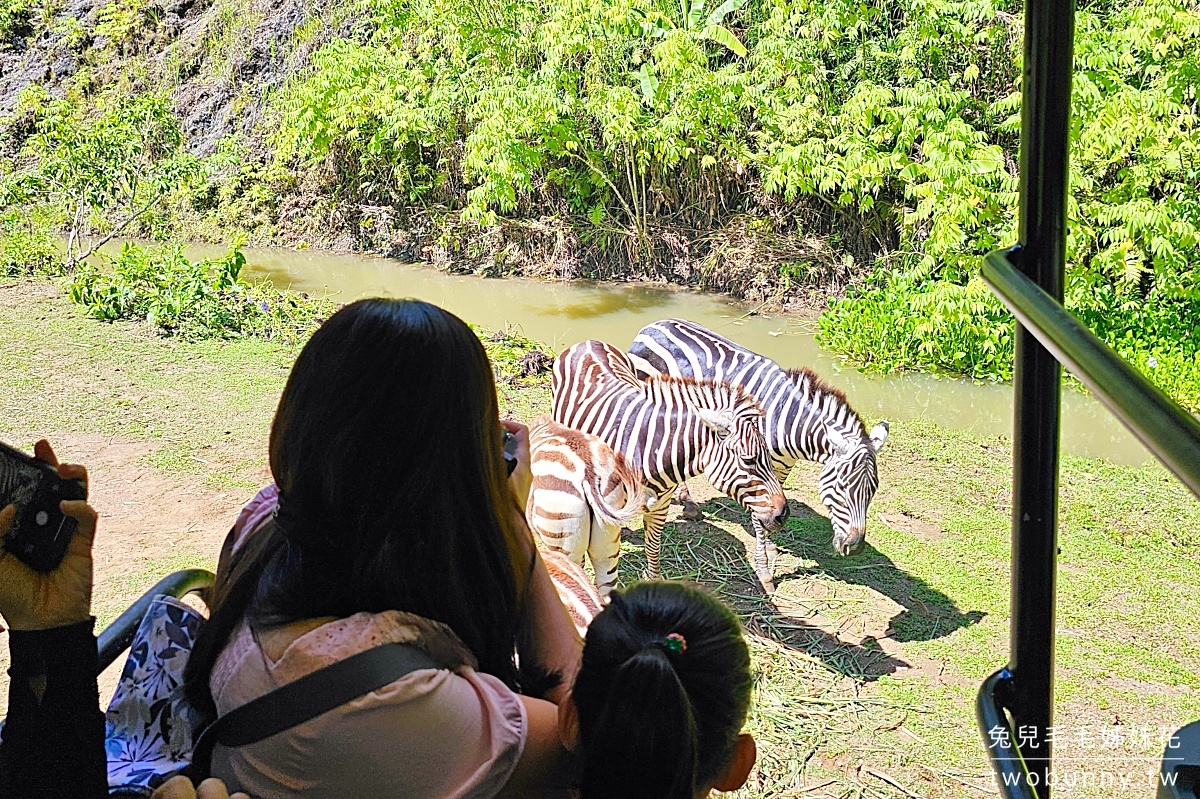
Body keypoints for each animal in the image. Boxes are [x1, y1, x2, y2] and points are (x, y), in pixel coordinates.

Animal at [549, 338, 787, 583]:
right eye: (749, 460)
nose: (783, 515)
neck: (647, 454)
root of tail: (588, 341)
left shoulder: (660, 506)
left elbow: (653, 548)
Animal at [633, 316, 888, 566]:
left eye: (873, 489)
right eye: (841, 487)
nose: (855, 548)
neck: (787, 418)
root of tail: (654, 324)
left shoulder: (781, 468)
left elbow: (773, 503)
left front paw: (770, 540)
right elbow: (760, 511)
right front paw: (764, 555)